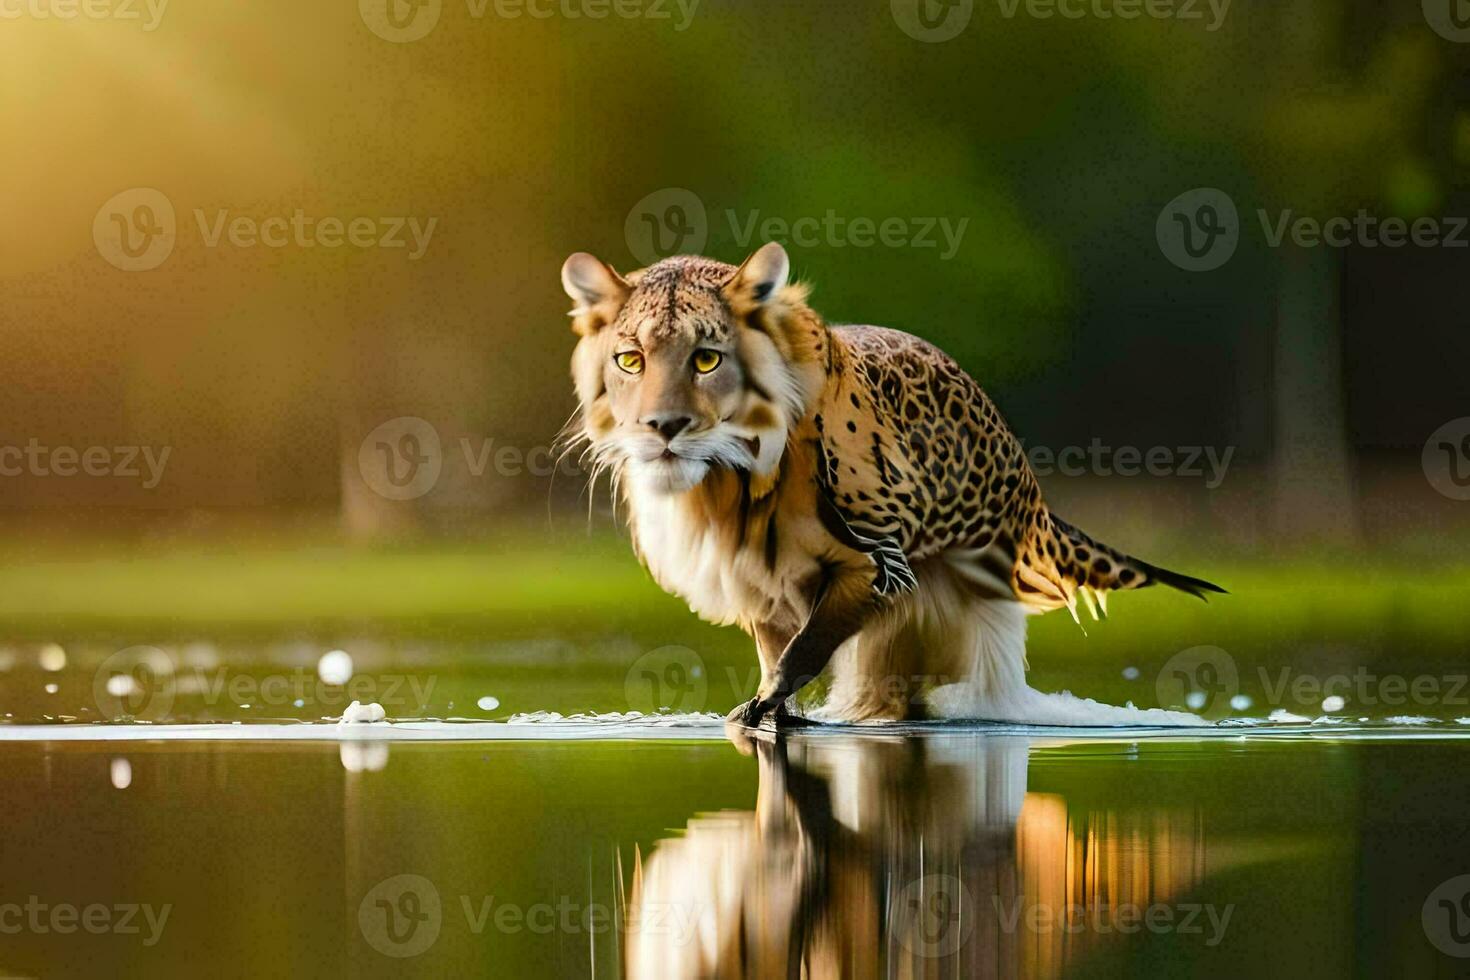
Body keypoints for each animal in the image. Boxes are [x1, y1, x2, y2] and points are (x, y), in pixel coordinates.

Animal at [555, 240, 1223, 725]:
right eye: (630, 360)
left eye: (706, 359)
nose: (663, 427)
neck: (726, 485)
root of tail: (1030, 492)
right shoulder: (759, 589)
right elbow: (780, 658)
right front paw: (772, 714)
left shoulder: (877, 568)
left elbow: (803, 650)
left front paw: (759, 713)